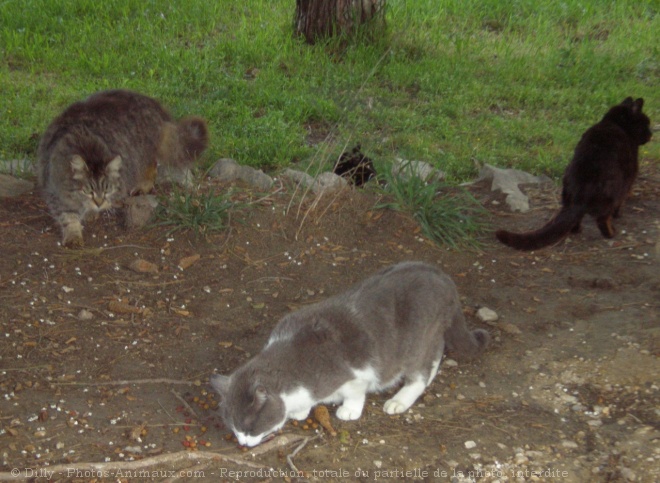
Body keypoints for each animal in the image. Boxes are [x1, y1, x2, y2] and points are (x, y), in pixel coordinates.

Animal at [37, 90, 208, 248]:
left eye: (107, 190)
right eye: (88, 191)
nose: (99, 203)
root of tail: (153, 103)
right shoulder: (54, 190)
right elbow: (68, 217)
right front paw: (76, 230)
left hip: (140, 152)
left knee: (151, 166)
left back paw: (143, 186)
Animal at [211, 262, 490, 448]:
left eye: (248, 427)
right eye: (233, 428)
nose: (242, 443)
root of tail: (443, 277)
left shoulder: (357, 373)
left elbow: (355, 393)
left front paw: (348, 410)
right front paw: (300, 411)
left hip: (417, 341)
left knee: (422, 371)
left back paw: (399, 400)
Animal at [498, 97, 652, 251]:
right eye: (647, 124)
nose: (651, 135)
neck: (614, 123)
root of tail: (579, 196)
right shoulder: (630, 175)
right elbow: (623, 199)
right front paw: (619, 214)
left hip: (566, 188)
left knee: (576, 220)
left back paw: (576, 230)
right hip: (612, 191)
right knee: (602, 219)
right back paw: (611, 233)